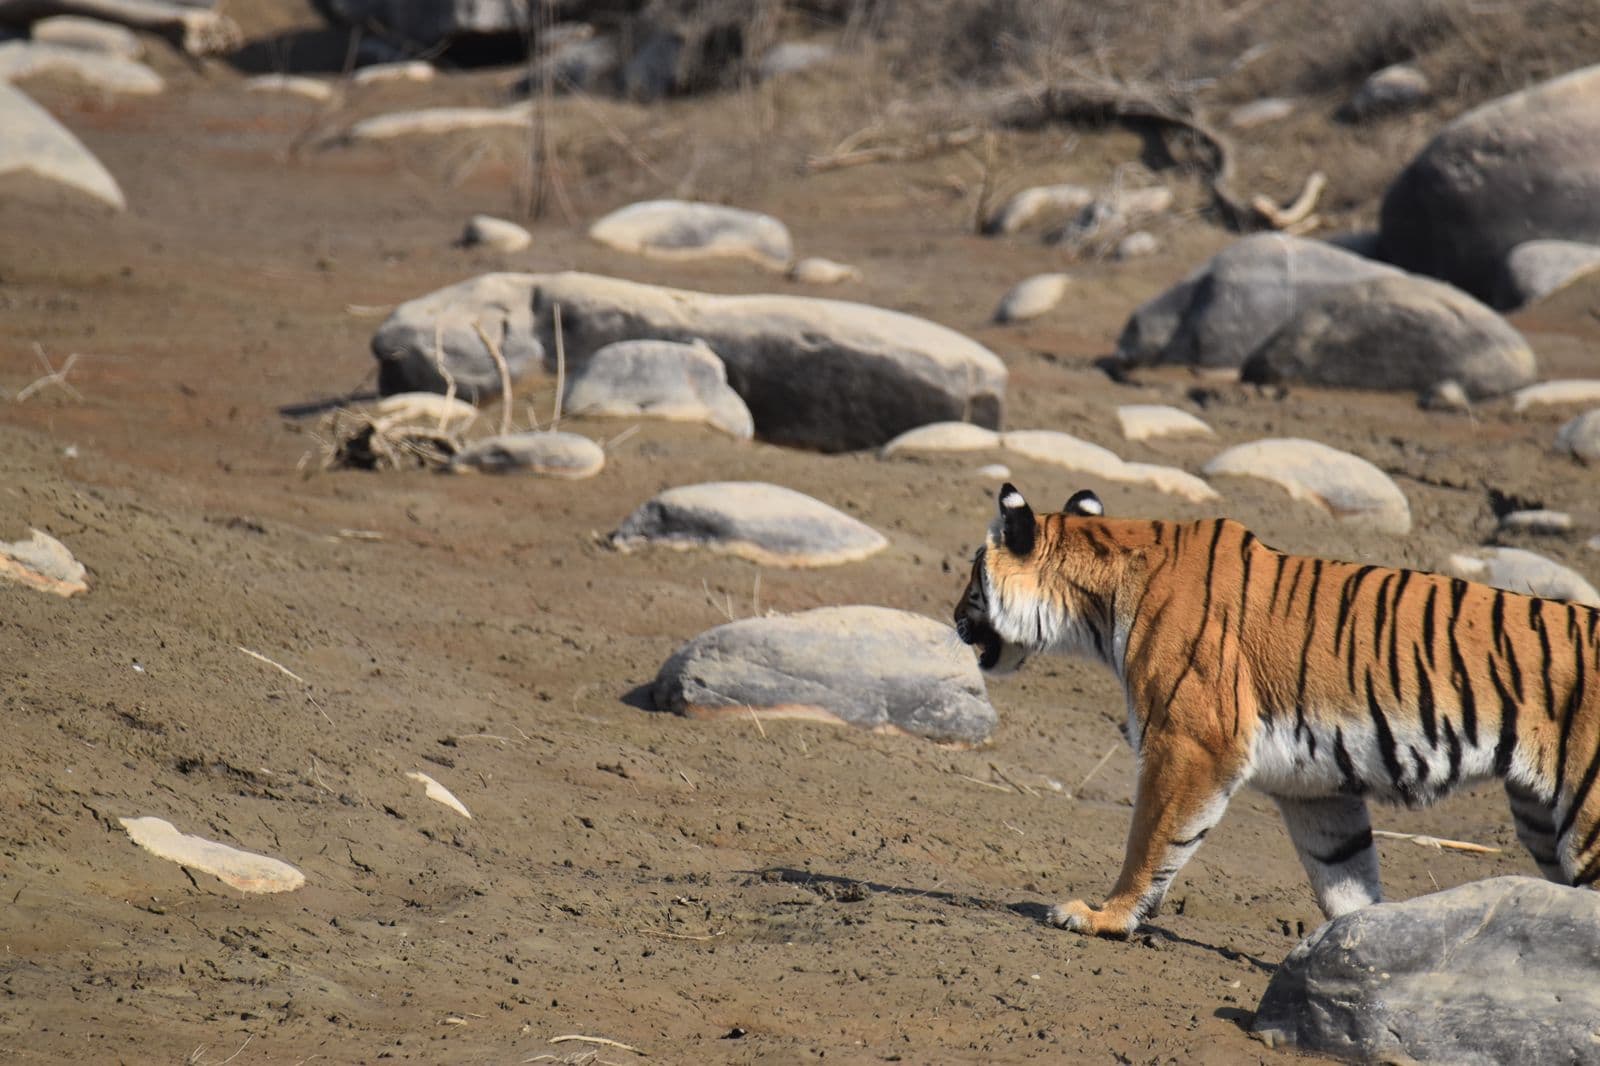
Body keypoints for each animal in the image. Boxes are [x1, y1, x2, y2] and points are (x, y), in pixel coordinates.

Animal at [954, 482, 1600, 938]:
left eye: (972, 577)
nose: (954, 618)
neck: (1098, 599)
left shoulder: (1190, 742)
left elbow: (1151, 839)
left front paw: (1102, 916)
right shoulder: (1316, 789)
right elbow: (1345, 878)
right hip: (1540, 820)